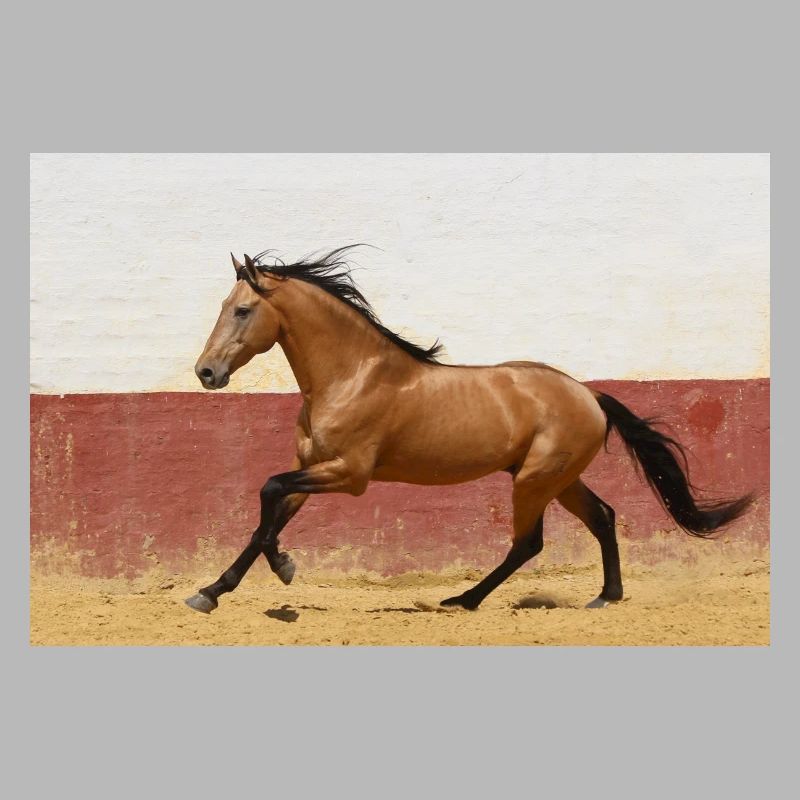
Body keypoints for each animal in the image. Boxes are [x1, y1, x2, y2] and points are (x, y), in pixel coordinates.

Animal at [185, 246, 752, 614]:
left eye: (242, 310)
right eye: (223, 308)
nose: (206, 373)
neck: (352, 374)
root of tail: (589, 395)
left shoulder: (349, 474)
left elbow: (267, 492)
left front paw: (277, 568)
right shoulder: (312, 466)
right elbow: (267, 517)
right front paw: (215, 589)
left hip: (534, 481)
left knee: (528, 543)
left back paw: (464, 599)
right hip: (558, 480)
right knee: (604, 517)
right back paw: (605, 597)